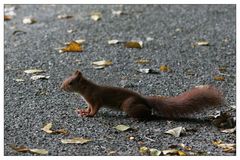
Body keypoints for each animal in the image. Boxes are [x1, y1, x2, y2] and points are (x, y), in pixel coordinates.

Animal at [60, 70, 223, 120]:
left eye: (70, 83)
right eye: (66, 80)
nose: (61, 87)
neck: (86, 89)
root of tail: (144, 99)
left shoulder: (95, 99)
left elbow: (95, 109)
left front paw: (89, 115)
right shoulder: (89, 101)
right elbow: (88, 107)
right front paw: (83, 111)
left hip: (128, 104)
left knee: (147, 112)